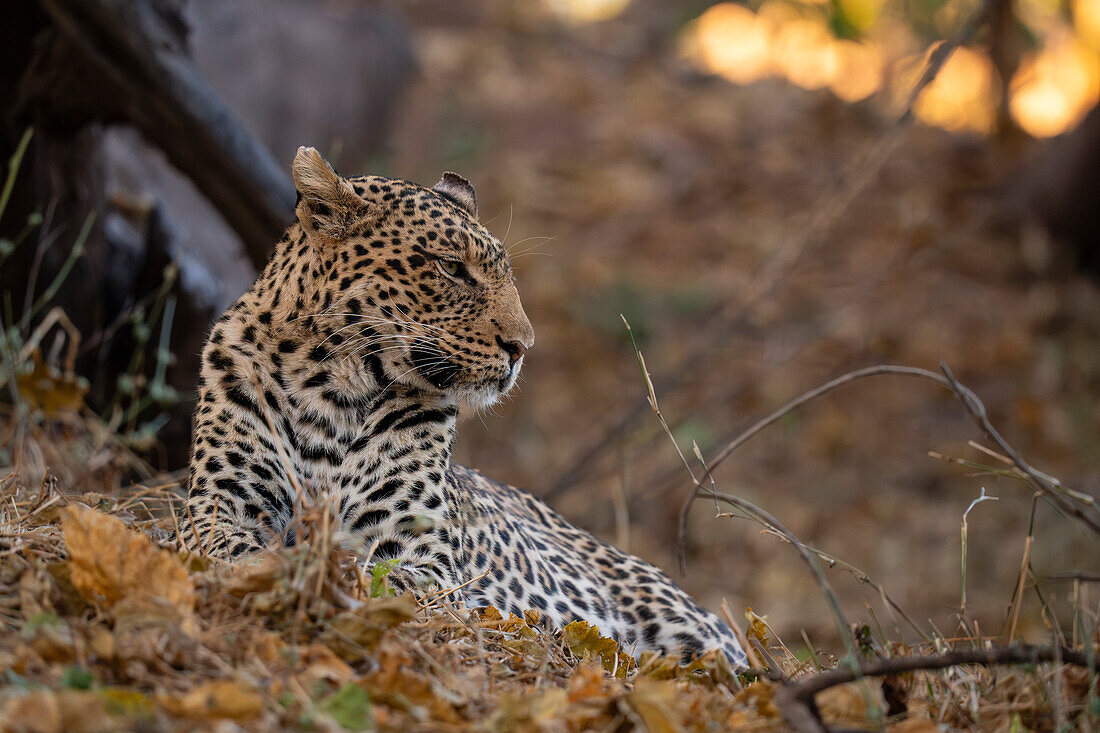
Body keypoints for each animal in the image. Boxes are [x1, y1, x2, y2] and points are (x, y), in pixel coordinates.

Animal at [180, 145, 748, 664]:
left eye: (503, 273)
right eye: (452, 268)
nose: (524, 346)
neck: (331, 391)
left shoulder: (422, 557)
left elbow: (374, 575)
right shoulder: (216, 507)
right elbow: (232, 548)